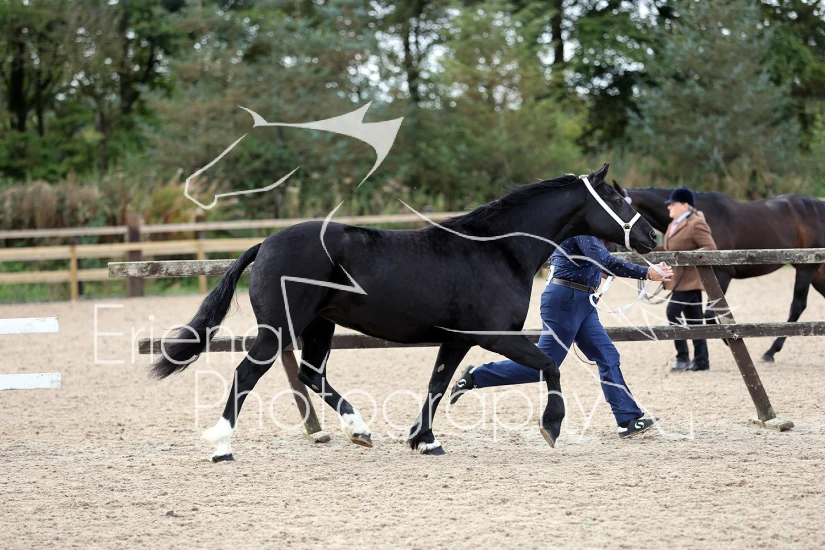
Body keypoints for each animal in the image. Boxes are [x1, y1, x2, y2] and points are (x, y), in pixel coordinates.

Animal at [152, 163, 657, 462]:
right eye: (618, 200)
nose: (651, 237)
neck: (497, 251)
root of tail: (266, 243)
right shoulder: (492, 335)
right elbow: (549, 364)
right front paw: (551, 427)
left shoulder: (456, 338)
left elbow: (438, 384)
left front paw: (424, 439)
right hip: (278, 328)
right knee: (246, 374)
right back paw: (221, 446)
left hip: (320, 326)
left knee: (313, 375)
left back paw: (360, 430)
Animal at [612, 181, 825, 362]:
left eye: (620, 206)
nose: (615, 249)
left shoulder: (722, 274)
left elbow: (710, 314)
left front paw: (730, 340)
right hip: (817, 273)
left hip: (806, 269)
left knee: (797, 306)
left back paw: (770, 352)